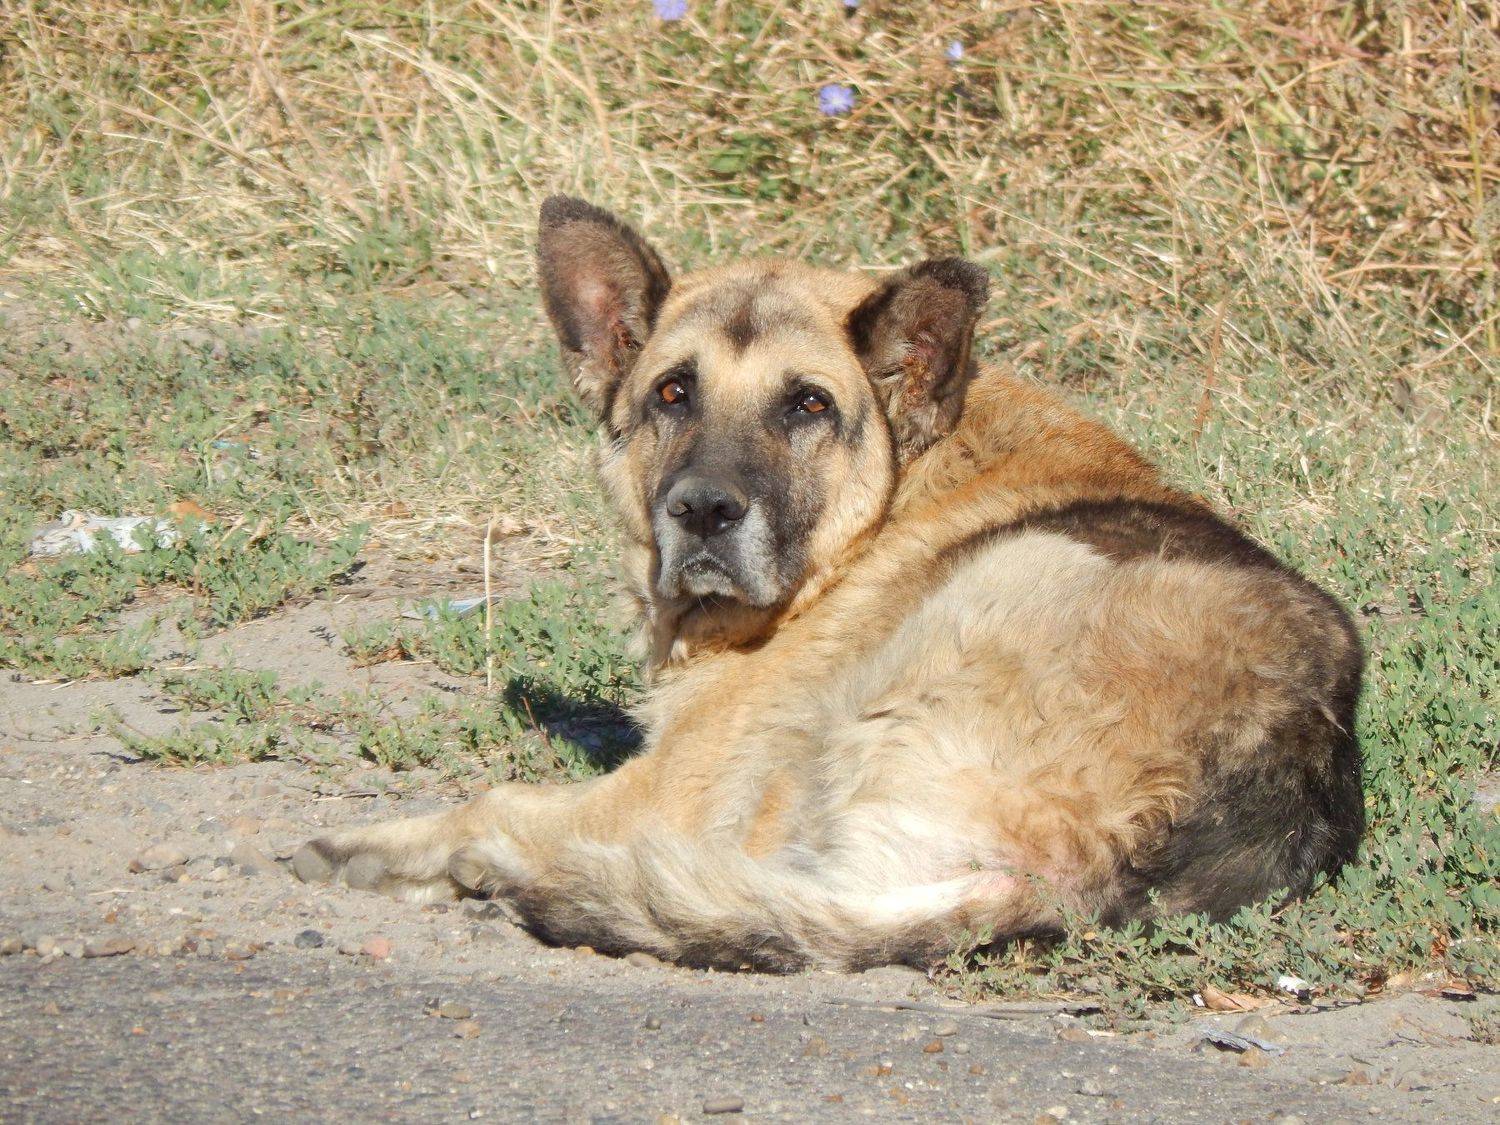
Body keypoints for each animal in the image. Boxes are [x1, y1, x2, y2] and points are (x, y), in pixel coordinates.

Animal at [293, 196, 1365, 971]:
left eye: (807, 405)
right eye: (672, 392)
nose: (702, 511)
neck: (892, 491)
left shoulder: (670, 789)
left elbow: (493, 798)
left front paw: (379, 847)